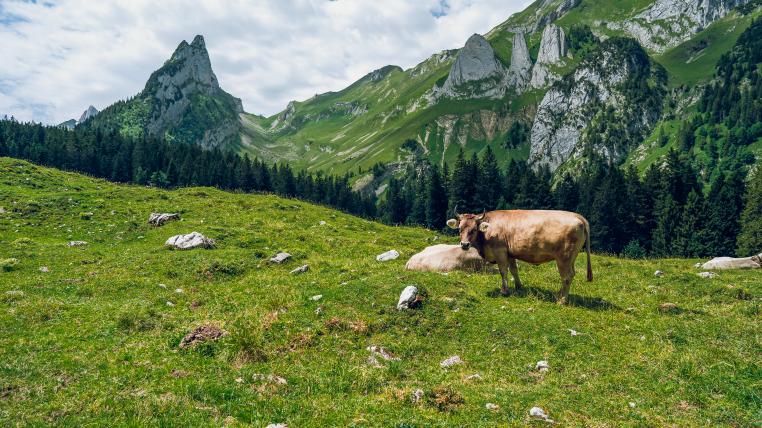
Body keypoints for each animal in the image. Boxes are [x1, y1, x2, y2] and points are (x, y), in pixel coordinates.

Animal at [447, 208, 592, 304]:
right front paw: (518, 287)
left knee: (566, 277)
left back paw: (562, 300)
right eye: (459, 229)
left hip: (564, 257)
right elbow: (514, 270)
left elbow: (503, 271)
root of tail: (578, 216)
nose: (464, 244)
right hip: (571, 258)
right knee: (571, 274)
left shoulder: (500, 251)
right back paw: (559, 294)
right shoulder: (510, 253)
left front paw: (504, 291)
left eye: (474, 230)